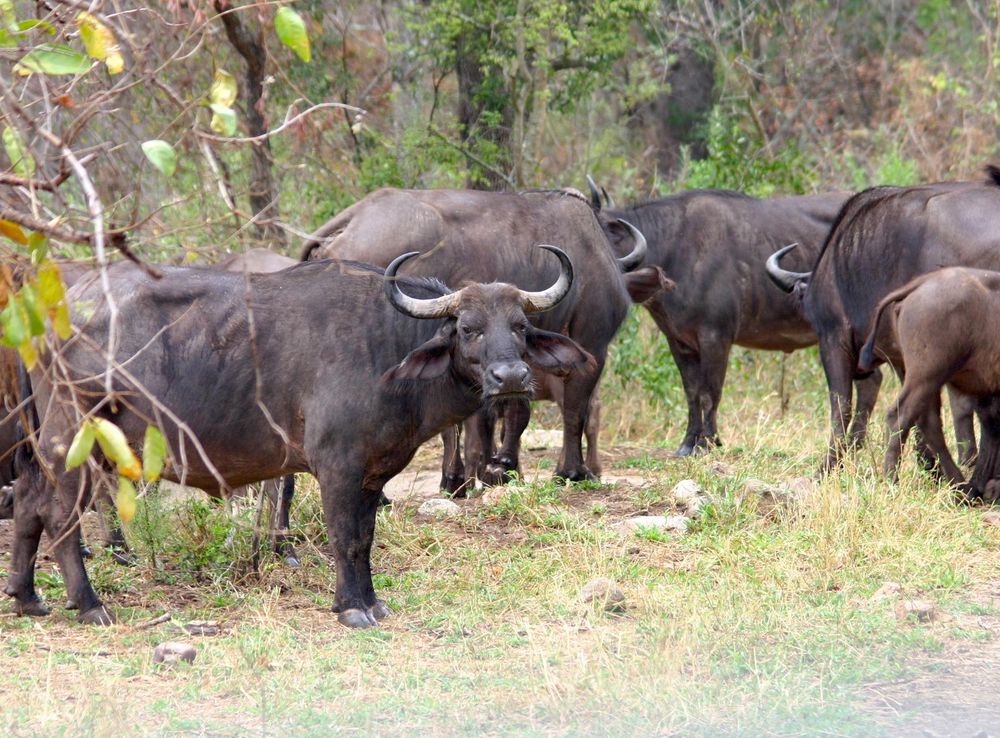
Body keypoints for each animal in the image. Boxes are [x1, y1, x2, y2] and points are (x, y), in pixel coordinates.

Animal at [5, 249, 591, 627]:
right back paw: (88, 604)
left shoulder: (373, 475)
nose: (511, 377)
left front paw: (370, 601)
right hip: (75, 440)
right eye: (468, 329)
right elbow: (344, 537)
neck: (387, 347)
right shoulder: (337, 468)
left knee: (30, 502)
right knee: (59, 515)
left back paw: (27, 596)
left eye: (519, 327)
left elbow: (364, 539)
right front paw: (352, 607)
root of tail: (49, 310)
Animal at [301, 187, 667, 489]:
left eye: (520, 325)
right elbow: (575, 407)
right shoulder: (592, 344)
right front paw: (571, 471)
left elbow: (506, 411)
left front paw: (491, 471)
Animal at [587, 179, 858, 456]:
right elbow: (692, 393)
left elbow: (710, 392)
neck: (673, 250)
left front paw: (708, 442)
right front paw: (689, 442)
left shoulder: (716, 337)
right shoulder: (679, 342)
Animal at [858, 267, 1000, 498]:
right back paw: (892, 480)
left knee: (929, 422)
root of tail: (922, 283)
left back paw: (960, 487)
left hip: (931, 381)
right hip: (927, 376)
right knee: (901, 416)